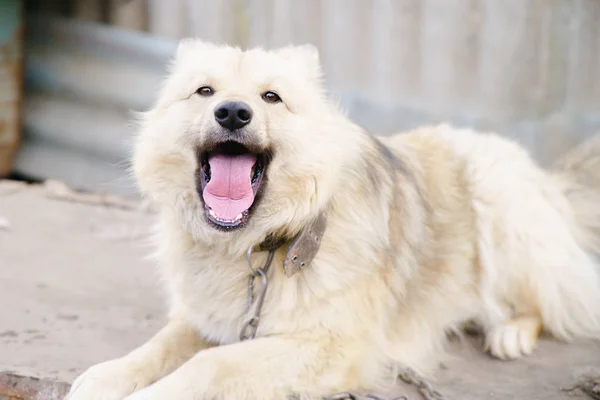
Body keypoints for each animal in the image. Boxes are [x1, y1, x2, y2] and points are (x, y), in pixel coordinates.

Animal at [65, 41, 600, 400]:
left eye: (271, 97)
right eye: (204, 91)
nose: (233, 112)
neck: (260, 245)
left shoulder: (333, 346)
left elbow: (211, 364)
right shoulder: (208, 317)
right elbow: (156, 347)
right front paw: (106, 376)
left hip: (500, 209)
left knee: (546, 300)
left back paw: (510, 332)